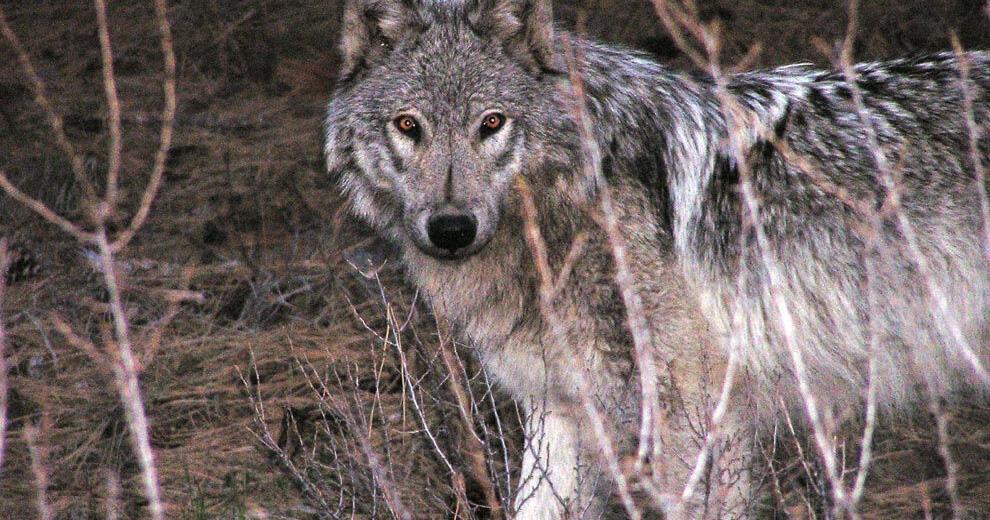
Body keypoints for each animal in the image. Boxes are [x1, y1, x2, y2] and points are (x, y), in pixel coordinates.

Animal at [324, 0, 990, 517]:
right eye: (408, 125)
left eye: (492, 123)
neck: (576, 195)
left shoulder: (689, 422)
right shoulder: (558, 409)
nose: (451, 229)